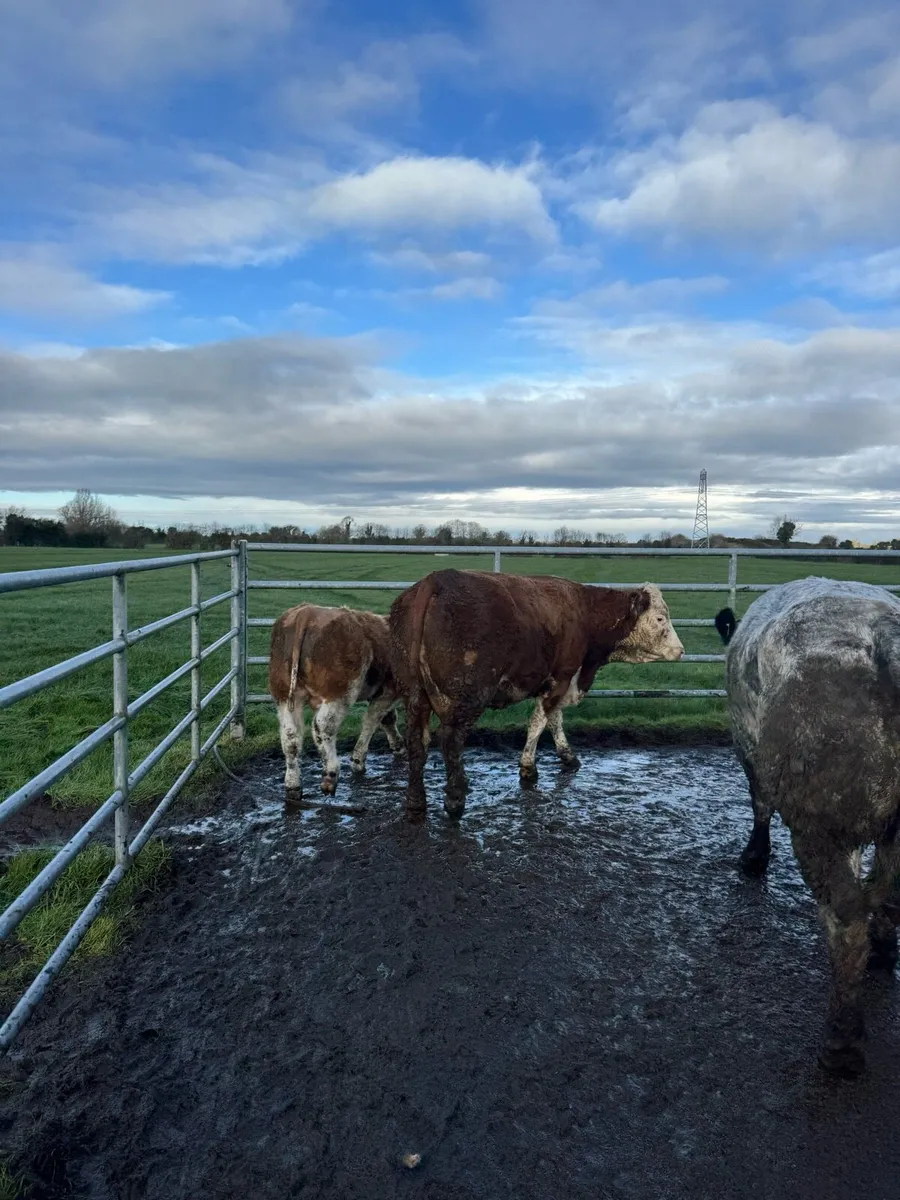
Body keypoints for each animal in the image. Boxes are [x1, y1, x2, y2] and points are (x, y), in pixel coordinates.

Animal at [269, 604, 403, 799]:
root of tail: (307, 611)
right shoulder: (388, 692)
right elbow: (372, 721)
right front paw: (358, 761)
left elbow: (387, 719)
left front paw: (398, 746)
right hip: (339, 694)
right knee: (322, 726)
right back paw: (330, 774)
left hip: (285, 697)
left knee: (291, 736)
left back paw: (293, 785)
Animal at [389, 568, 684, 819]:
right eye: (660, 618)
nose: (680, 650)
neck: (584, 612)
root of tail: (437, 579)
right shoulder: (561, 678)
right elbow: (539, 721)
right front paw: (529, 768)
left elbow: (554, 719)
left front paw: (568, 756)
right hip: (468, 697)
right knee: (451, 740)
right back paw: (455, 799)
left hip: (415, 696)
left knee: (417, 741)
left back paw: (415, 801)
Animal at [715, 577, 900, 1077]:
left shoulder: (749, 744)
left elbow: (758, 799)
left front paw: (754, 858)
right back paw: (883, 950)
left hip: (823, 826)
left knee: (845, 918)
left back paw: (841, 1041)